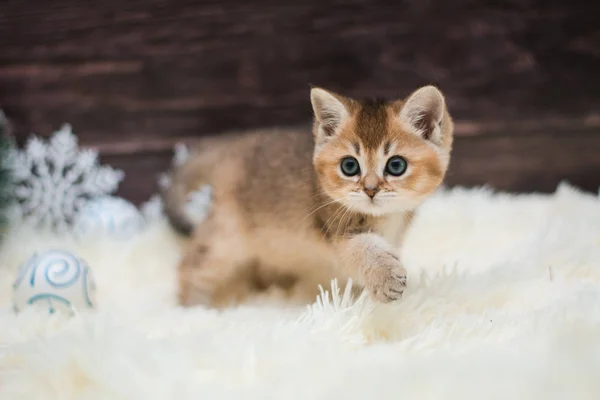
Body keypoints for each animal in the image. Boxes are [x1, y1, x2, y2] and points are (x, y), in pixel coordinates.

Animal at [162, 86, 452, 308]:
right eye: (350, 166)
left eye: (396, 165)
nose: (370, 189)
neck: (386, 218)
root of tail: (235, 144)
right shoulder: (339, 232)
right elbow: (364, 250)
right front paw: (385, 278)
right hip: (227, 237)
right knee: (191, 264)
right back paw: (196, 311)